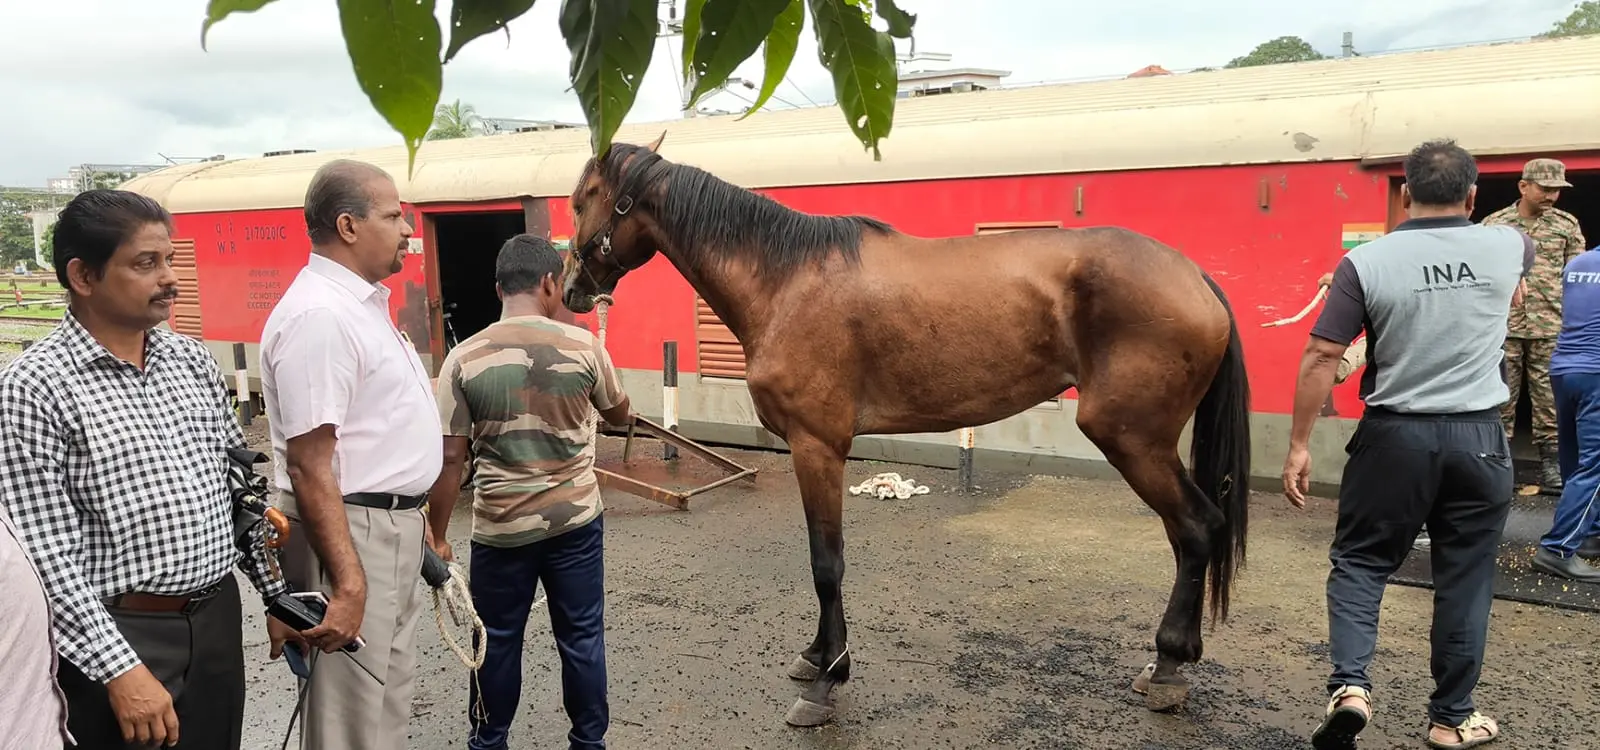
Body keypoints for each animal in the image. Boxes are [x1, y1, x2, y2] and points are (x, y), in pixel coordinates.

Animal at [559, 133, 1253, 727]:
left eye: (580, 199)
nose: (569, 289)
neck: (787, 280)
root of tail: (1194, 277)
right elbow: (821, 561)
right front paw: (818, 656)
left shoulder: (818, 448)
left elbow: (826, 564)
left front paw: (828, 682)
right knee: (1186, 535)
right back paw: (1167, 663)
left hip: (1131, 439)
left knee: (1197, 528)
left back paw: (1168, 667)